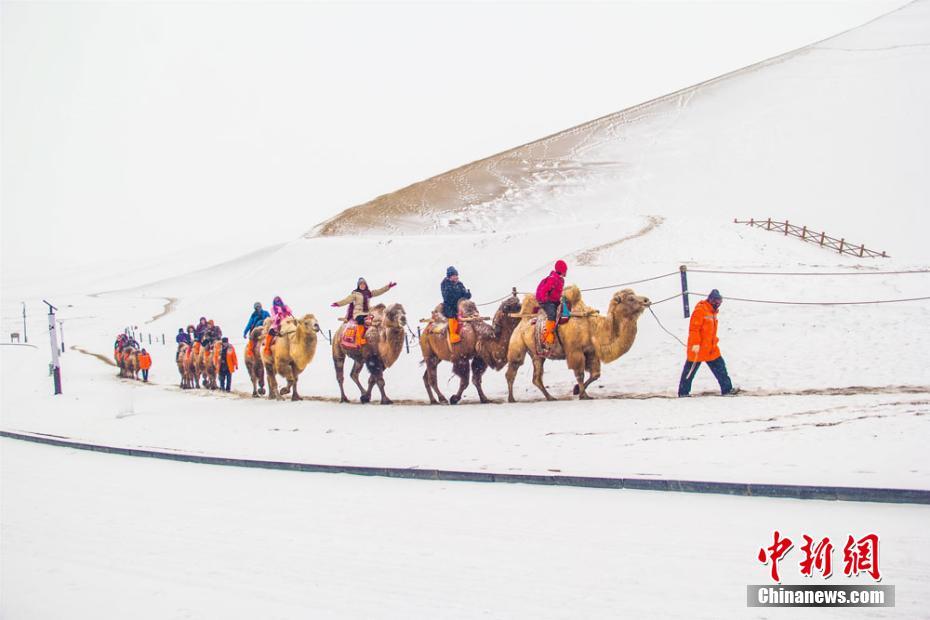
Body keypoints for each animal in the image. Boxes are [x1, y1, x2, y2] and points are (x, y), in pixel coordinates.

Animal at [504, 286, 648, 402]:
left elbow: (595, 374)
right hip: (517, 346)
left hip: (537, 354)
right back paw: (512, 399)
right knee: (512, 370)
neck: (594, 328)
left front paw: (576, 390)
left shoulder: (591, 352)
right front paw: (584, 395)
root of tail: (523, 321)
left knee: (536, 378)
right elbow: (580, 374)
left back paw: (550, 397)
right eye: (630, 299)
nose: (646, 300)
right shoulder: (575, 351)